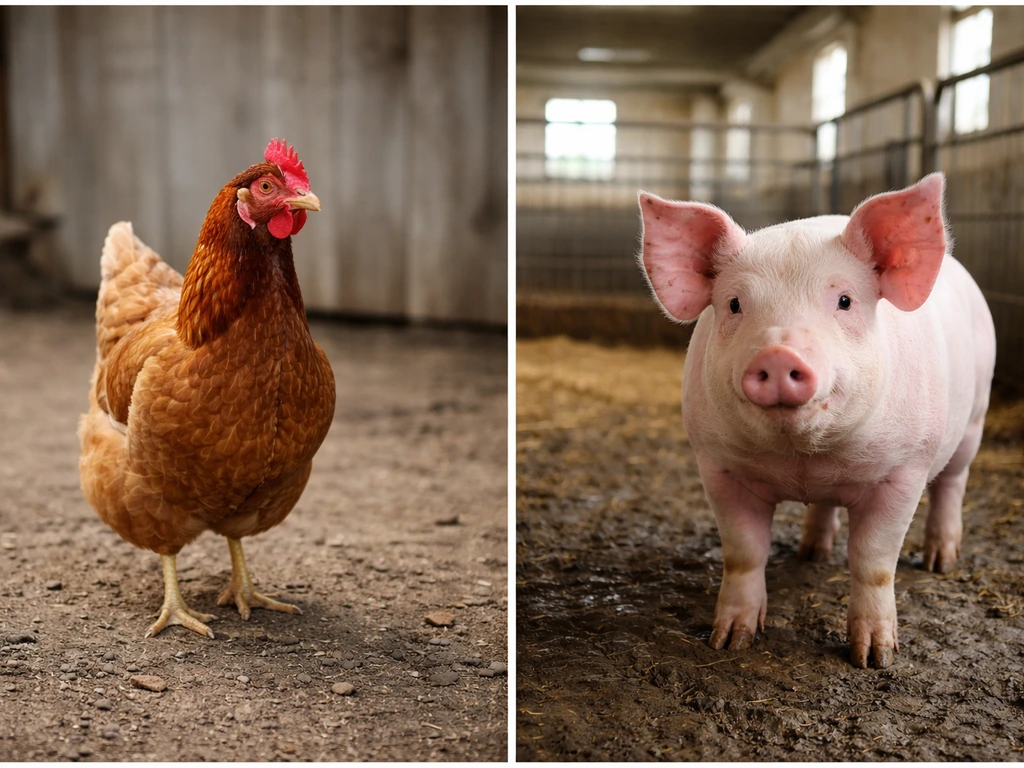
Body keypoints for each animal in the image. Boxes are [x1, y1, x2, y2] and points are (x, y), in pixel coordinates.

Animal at [636, 174, 996, 668]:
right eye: (734, 304)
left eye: (844, 300)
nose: (777, 353)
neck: (806, 457)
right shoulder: (717, 465)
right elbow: (743, 553)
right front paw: (729, 641)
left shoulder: (903, 470)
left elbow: (873, 561)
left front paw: (874, 658)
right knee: (826, 506)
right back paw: (811, 553)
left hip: (974, 417)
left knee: (953, 483)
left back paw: (940, 562)